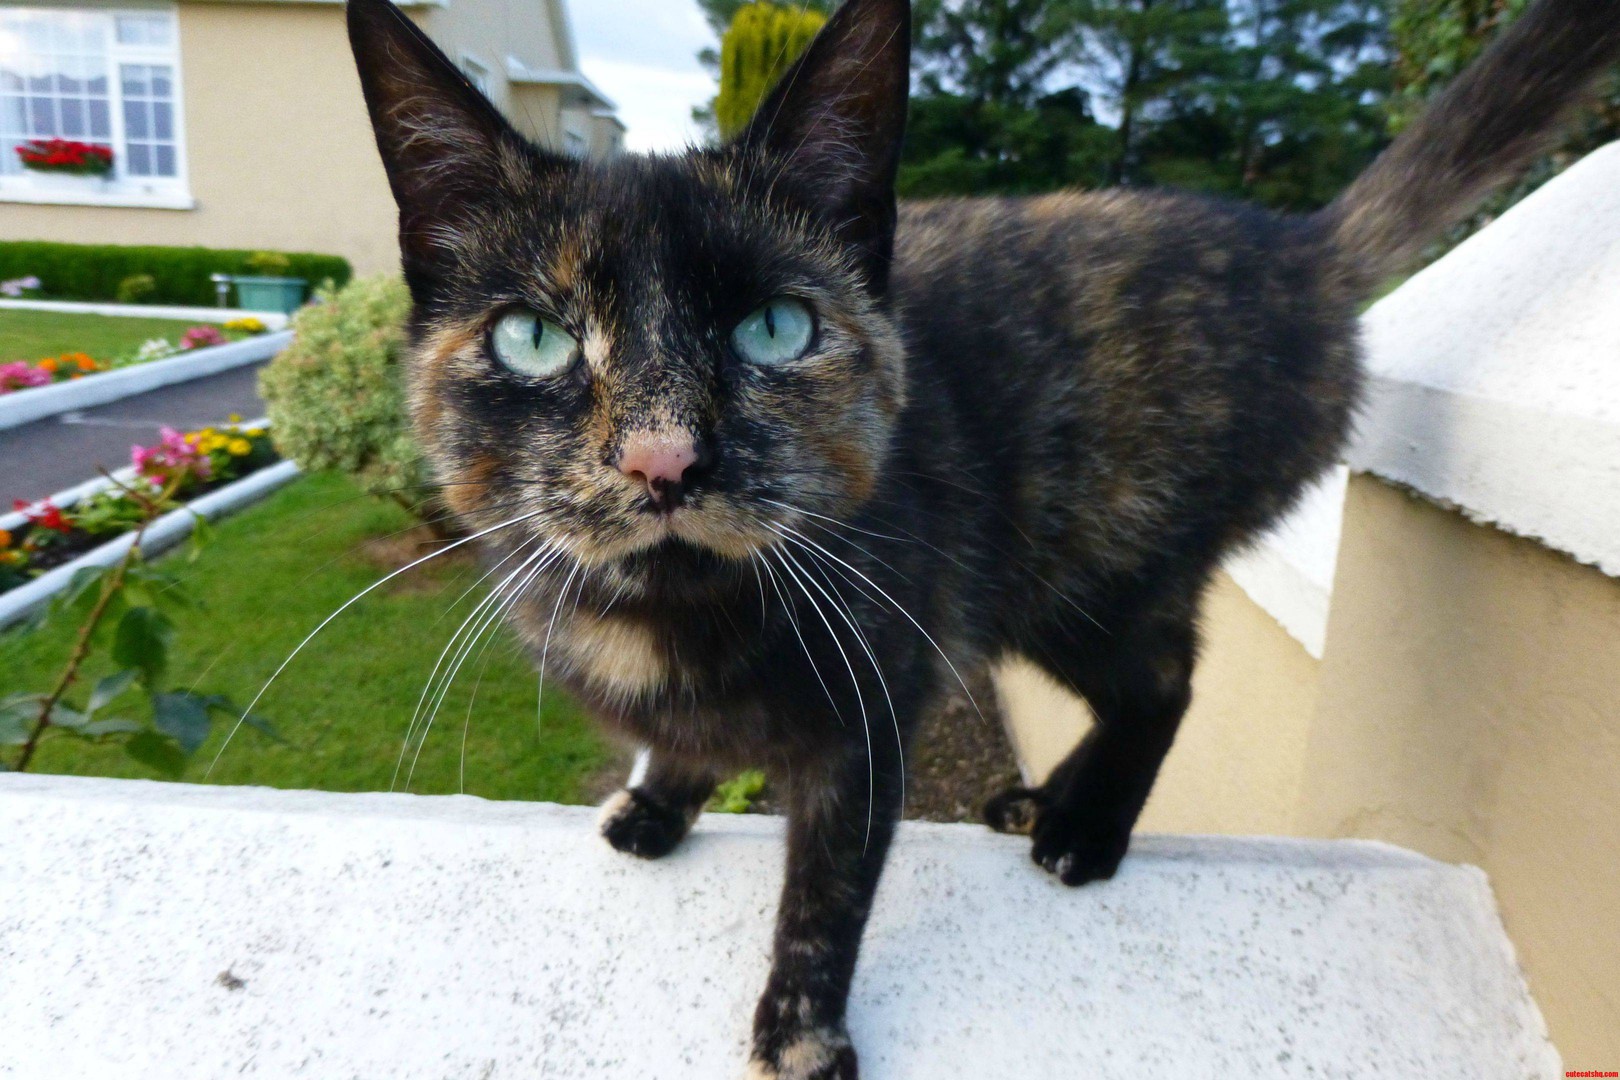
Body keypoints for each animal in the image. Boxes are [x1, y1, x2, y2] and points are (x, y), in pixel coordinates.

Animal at [345, 0, 1620, 1075]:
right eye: (534, 339)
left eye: (775, 327)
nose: (663, 460)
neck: (667, 614)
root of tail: (1302, 253)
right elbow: (683, 751)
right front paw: (661, 798)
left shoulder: (871, 720)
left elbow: (827, 894)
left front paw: (799, 1036)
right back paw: (1041, 802)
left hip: (1091, 579)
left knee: (1164, 681)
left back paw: (1085, 826)